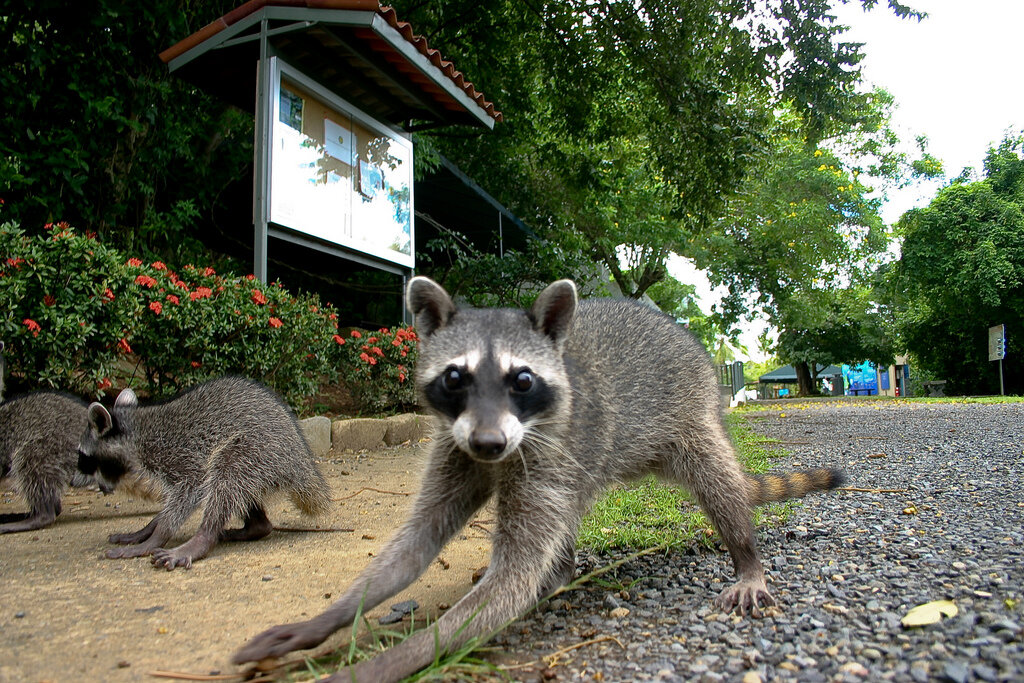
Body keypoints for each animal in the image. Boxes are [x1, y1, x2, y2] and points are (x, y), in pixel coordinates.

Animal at [77, 376, 329, 569]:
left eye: (83, 457)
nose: (77, 479)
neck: (136, 430)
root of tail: (301, 459)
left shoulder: (175, 453)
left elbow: (193, 486)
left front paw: (159, 534)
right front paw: (148, 528)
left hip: (260, 448)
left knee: (226, 473)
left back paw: (203, 537)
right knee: (237, 487)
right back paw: (256, 526)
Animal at [234, 278, 847, 683]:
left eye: (521, 380)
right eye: (454, 377)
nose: (489, 444)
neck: (497, 447)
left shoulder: (548, 450)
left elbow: (510, 580)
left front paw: (374, 667)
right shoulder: (455, 447)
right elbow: (415, 544)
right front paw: (327, 620)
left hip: (688, 412)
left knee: (717, 480)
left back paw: (744, 554)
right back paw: (563, 573)